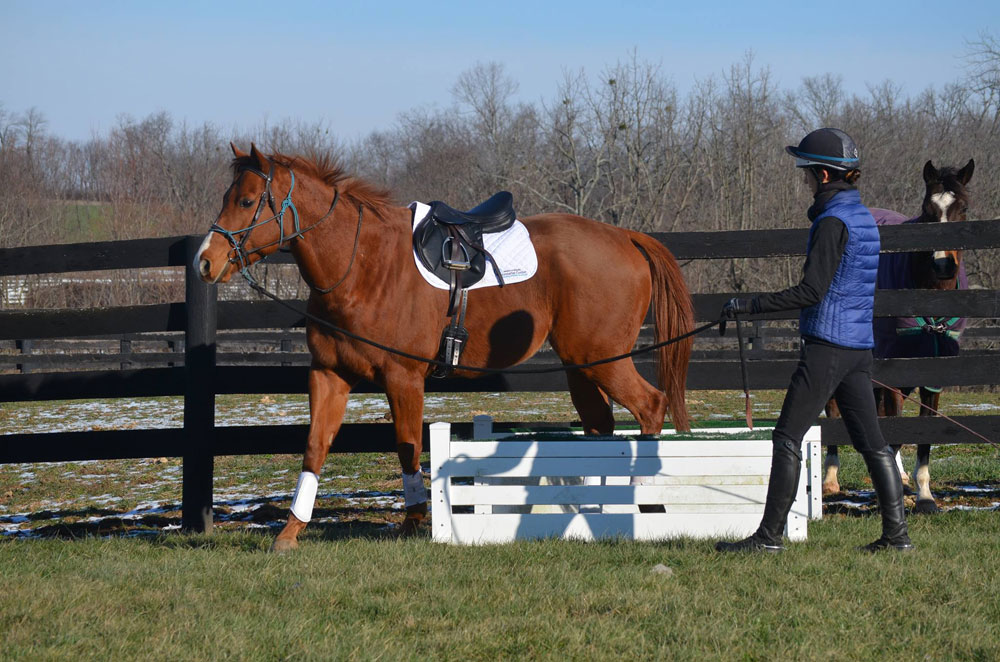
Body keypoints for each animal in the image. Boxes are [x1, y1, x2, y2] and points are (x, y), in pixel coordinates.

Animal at [196, 147, 696, 556]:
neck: (361, 265)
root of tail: (626, 237)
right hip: (583, 364)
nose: (205, 261)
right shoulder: (329, 375)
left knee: (651, 406)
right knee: (600, 426)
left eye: (246, 202)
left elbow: (408, 447)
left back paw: (642, 505)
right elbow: (315, 447)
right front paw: (290, 531)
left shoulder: (403, 379)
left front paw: (413, 523)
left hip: (604, 359)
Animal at [824, 160, 972, 512]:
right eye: (927, 210)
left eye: (963, 208)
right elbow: (894, 430)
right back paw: (830, 479)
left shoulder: (933, 374)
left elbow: (920, 433)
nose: (943, 265)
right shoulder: (894, 370)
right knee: (835, 410)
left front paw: (924, 496)